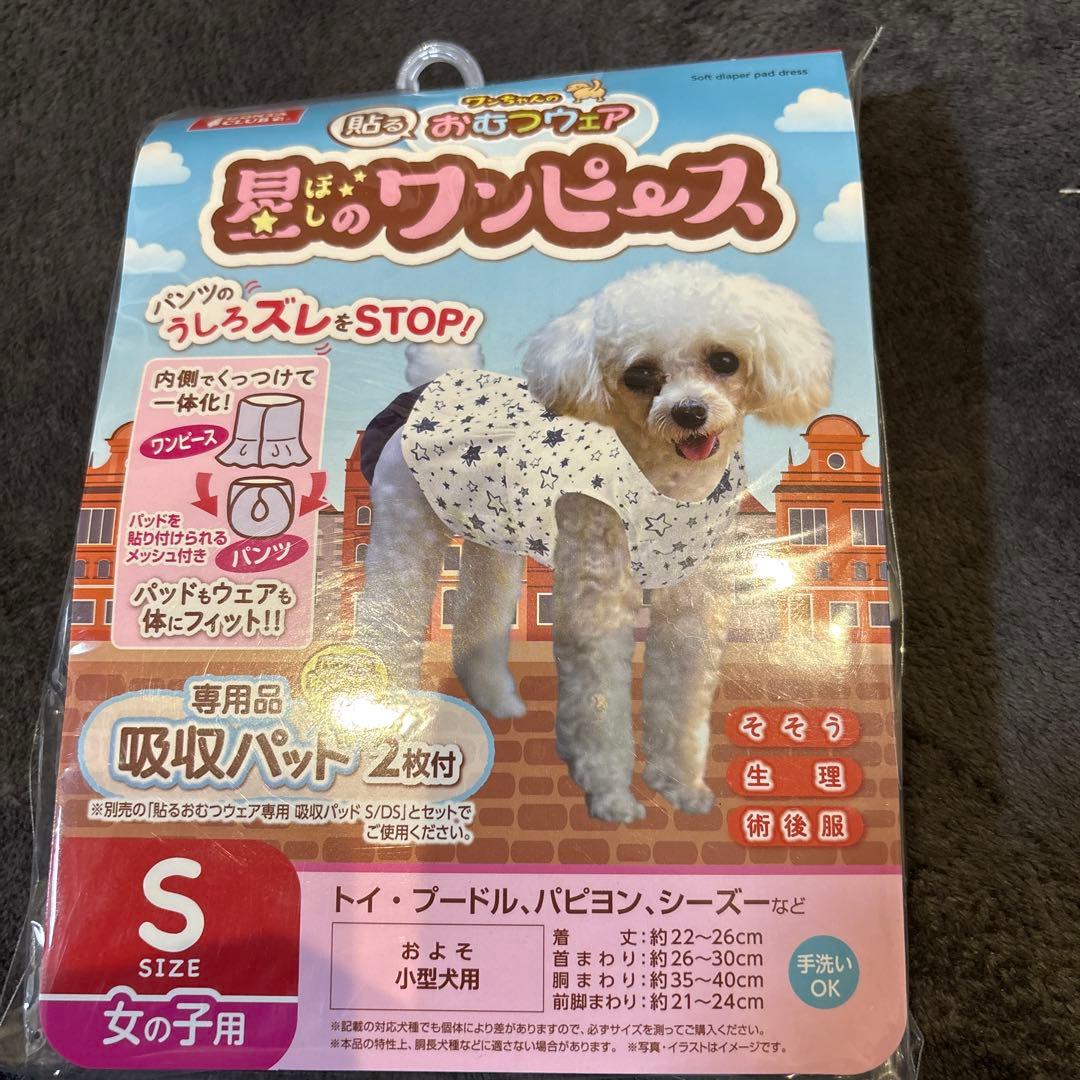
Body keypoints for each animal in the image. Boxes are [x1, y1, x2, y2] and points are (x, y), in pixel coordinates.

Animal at [355, 261, 832, 822]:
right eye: (640, 374)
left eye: (724, 360)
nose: (689, 412)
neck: (664, 478)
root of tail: (434, 383)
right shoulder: (597, 595)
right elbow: (600, 697)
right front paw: (610, 795)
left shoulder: (692, 605)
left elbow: (682, 691)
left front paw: (678, 786)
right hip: (406, 522)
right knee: (388, 613)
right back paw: (378, 714)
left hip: (493, 540)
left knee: (477, 615)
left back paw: (496, 701)